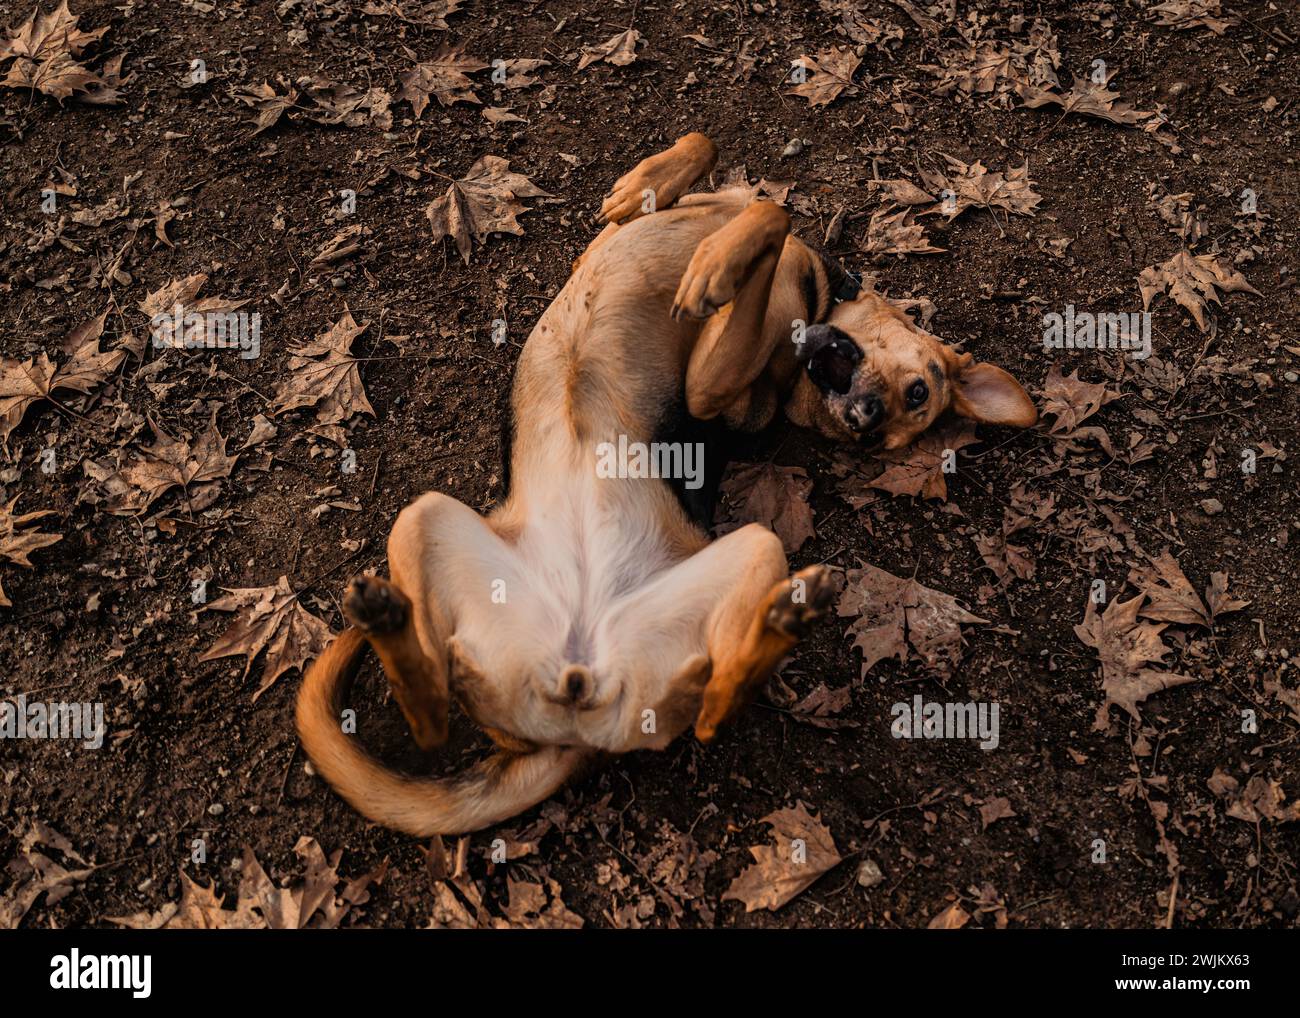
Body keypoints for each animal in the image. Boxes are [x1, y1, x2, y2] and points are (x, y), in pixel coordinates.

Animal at [297, 133, 1034, 837]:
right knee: (432, 713)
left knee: (711, 711)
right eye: (918, 392)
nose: (865, 421)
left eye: (903, 418)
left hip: (754, 549)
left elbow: (771, 215)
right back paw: (389, 621)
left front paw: (714, 265)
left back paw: (785, 618)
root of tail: (578, 699)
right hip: (422, 519)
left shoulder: (709, 387)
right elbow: (710, 153)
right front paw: (647, 184)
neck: (821, 294)